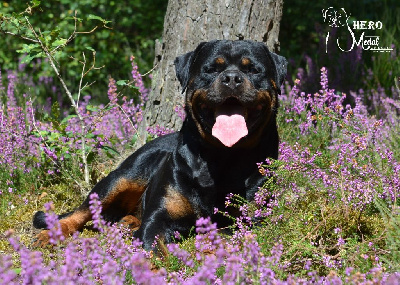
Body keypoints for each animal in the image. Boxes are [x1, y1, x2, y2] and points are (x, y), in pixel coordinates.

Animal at [32, 39, 286, 248]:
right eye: (211, 69)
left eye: (253, 69)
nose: (232, 78)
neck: (222, 157)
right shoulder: (159, 218)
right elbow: (153, 247)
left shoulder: (254, 218)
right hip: (122, 177)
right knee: (83, 210)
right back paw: (54, 232)